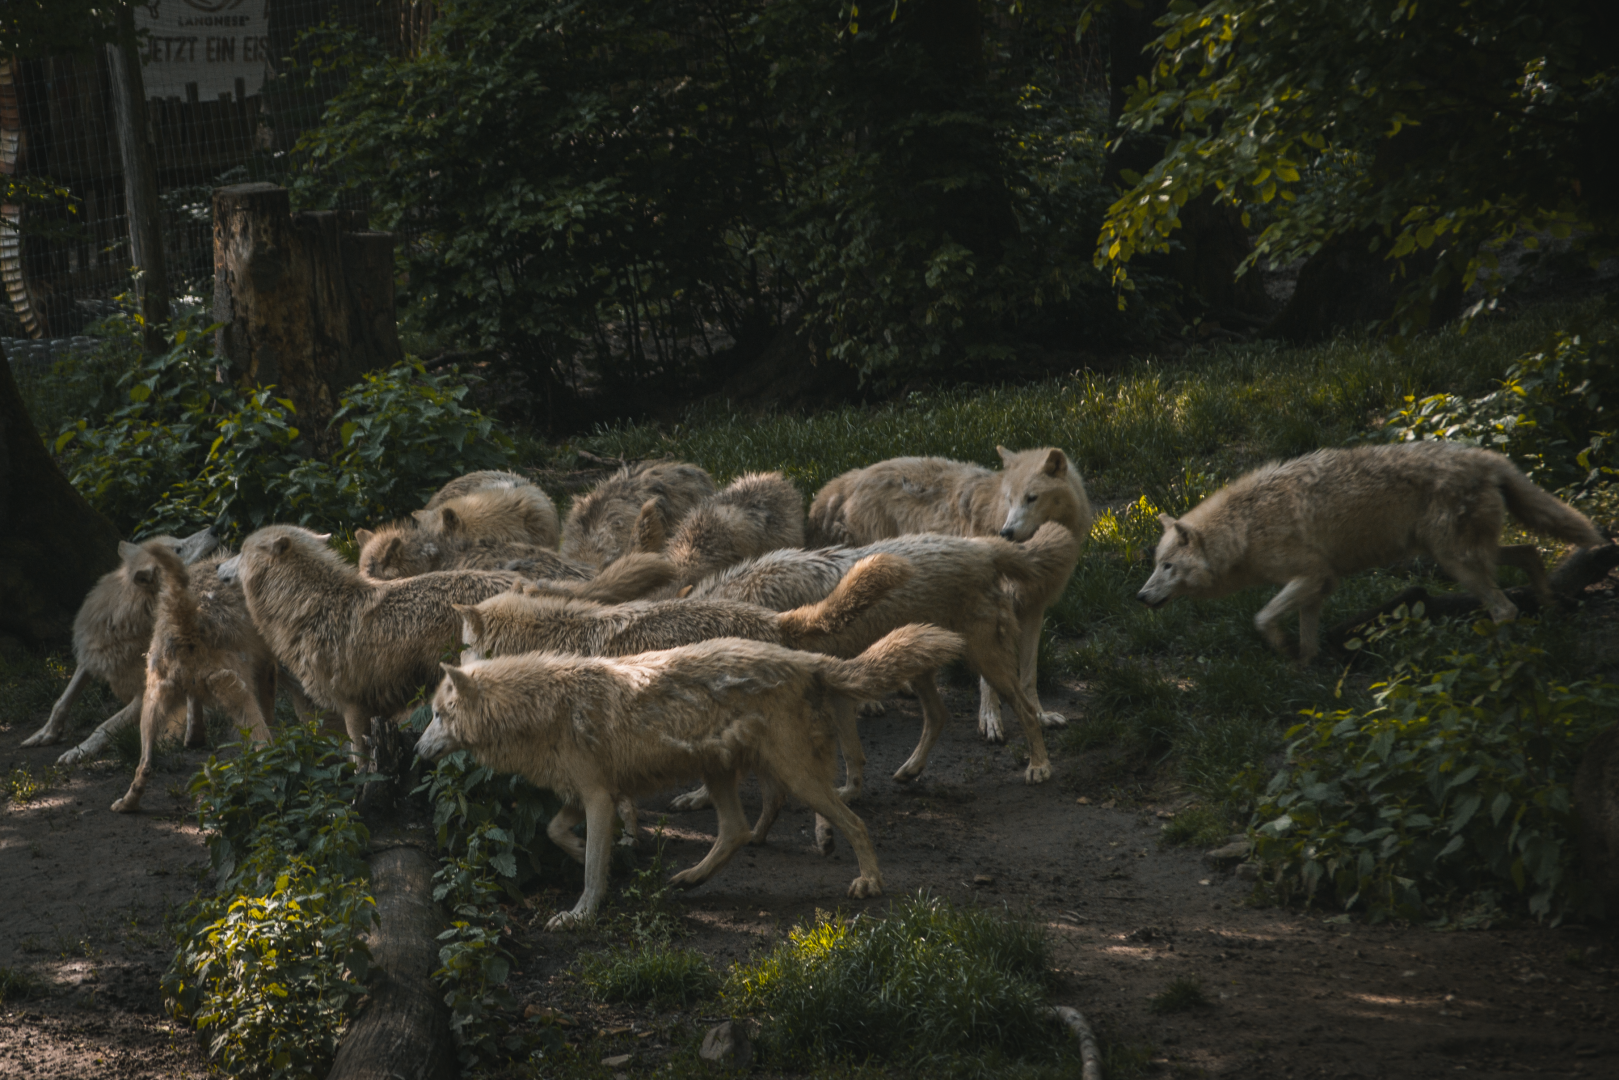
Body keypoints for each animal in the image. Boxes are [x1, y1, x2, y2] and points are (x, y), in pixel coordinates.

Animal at [21, 526, 220, 765]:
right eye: (178, 549)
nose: (213, 529)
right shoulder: (91, 657)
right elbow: (61, 700)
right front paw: (46, 734)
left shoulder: (145, 692)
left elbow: (105, 725)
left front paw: (79, 751)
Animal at [111, 543, 279, 814]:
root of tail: (187, 626)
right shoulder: (268, 667)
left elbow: (193, 704)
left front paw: (194, 738)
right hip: (243, 698)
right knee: (264, 749)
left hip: (150, 707)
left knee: (144, 766)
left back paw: (126, 805)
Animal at [416, 623, 964, 928]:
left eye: (439, 715)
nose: (417, 753)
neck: (539, 708)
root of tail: (804, 657)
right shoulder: (586, 794)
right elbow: (555, 832)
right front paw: (600, 854)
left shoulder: (597, 797)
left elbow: (591, 869)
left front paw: (580, 915)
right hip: (724, 771)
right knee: (738, 830)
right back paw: (693, 877)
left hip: (793, 775)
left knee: (854, 821)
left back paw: (868, 881)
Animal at [806, 447, 1092, 732]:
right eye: (1010, 500)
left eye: (1032, 498)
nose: (1006, 533)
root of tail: (844, 481)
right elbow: (989, 680)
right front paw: (990, 719)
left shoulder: (1034, 608)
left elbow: (1030, 674)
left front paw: (1041, 715)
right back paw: (869, 702)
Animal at [1136, 443, 1609, 662]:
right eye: (1155, 566)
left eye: (1167, 566)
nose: (1139, 597)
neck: (1244, 529)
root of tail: (1489, 457)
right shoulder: (1320, 584)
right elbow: (1307, 634)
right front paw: (1305, 668)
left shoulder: (1310, 576)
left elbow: (1262, 617)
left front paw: (1281, 648)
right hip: (1461, 555)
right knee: (1529, 552)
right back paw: (1551, 610)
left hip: (1456, 562)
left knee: (1505, 607)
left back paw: (1503, 653)